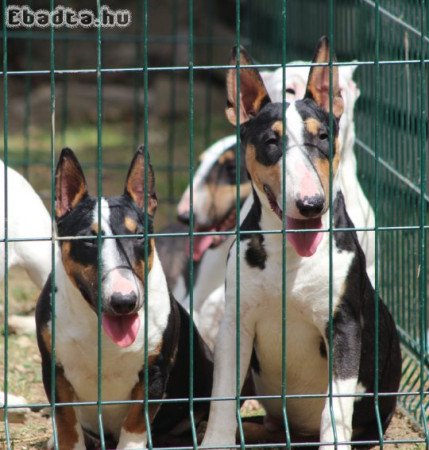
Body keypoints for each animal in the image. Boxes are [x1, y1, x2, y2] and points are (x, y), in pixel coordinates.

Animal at [35, 149, 212, 450]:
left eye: (139, 235)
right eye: (89, 240)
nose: (124, 301)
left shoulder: (155, 371)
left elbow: (136, 422)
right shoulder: (54, 369)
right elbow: (67, 423)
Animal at [201, 37, 402, 448]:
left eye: (323, 136)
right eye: (271, 141)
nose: (311, 205)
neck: (287, 256)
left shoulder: (344, 324)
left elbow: (334, 408)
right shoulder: (235, 323)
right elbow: (222, 396)